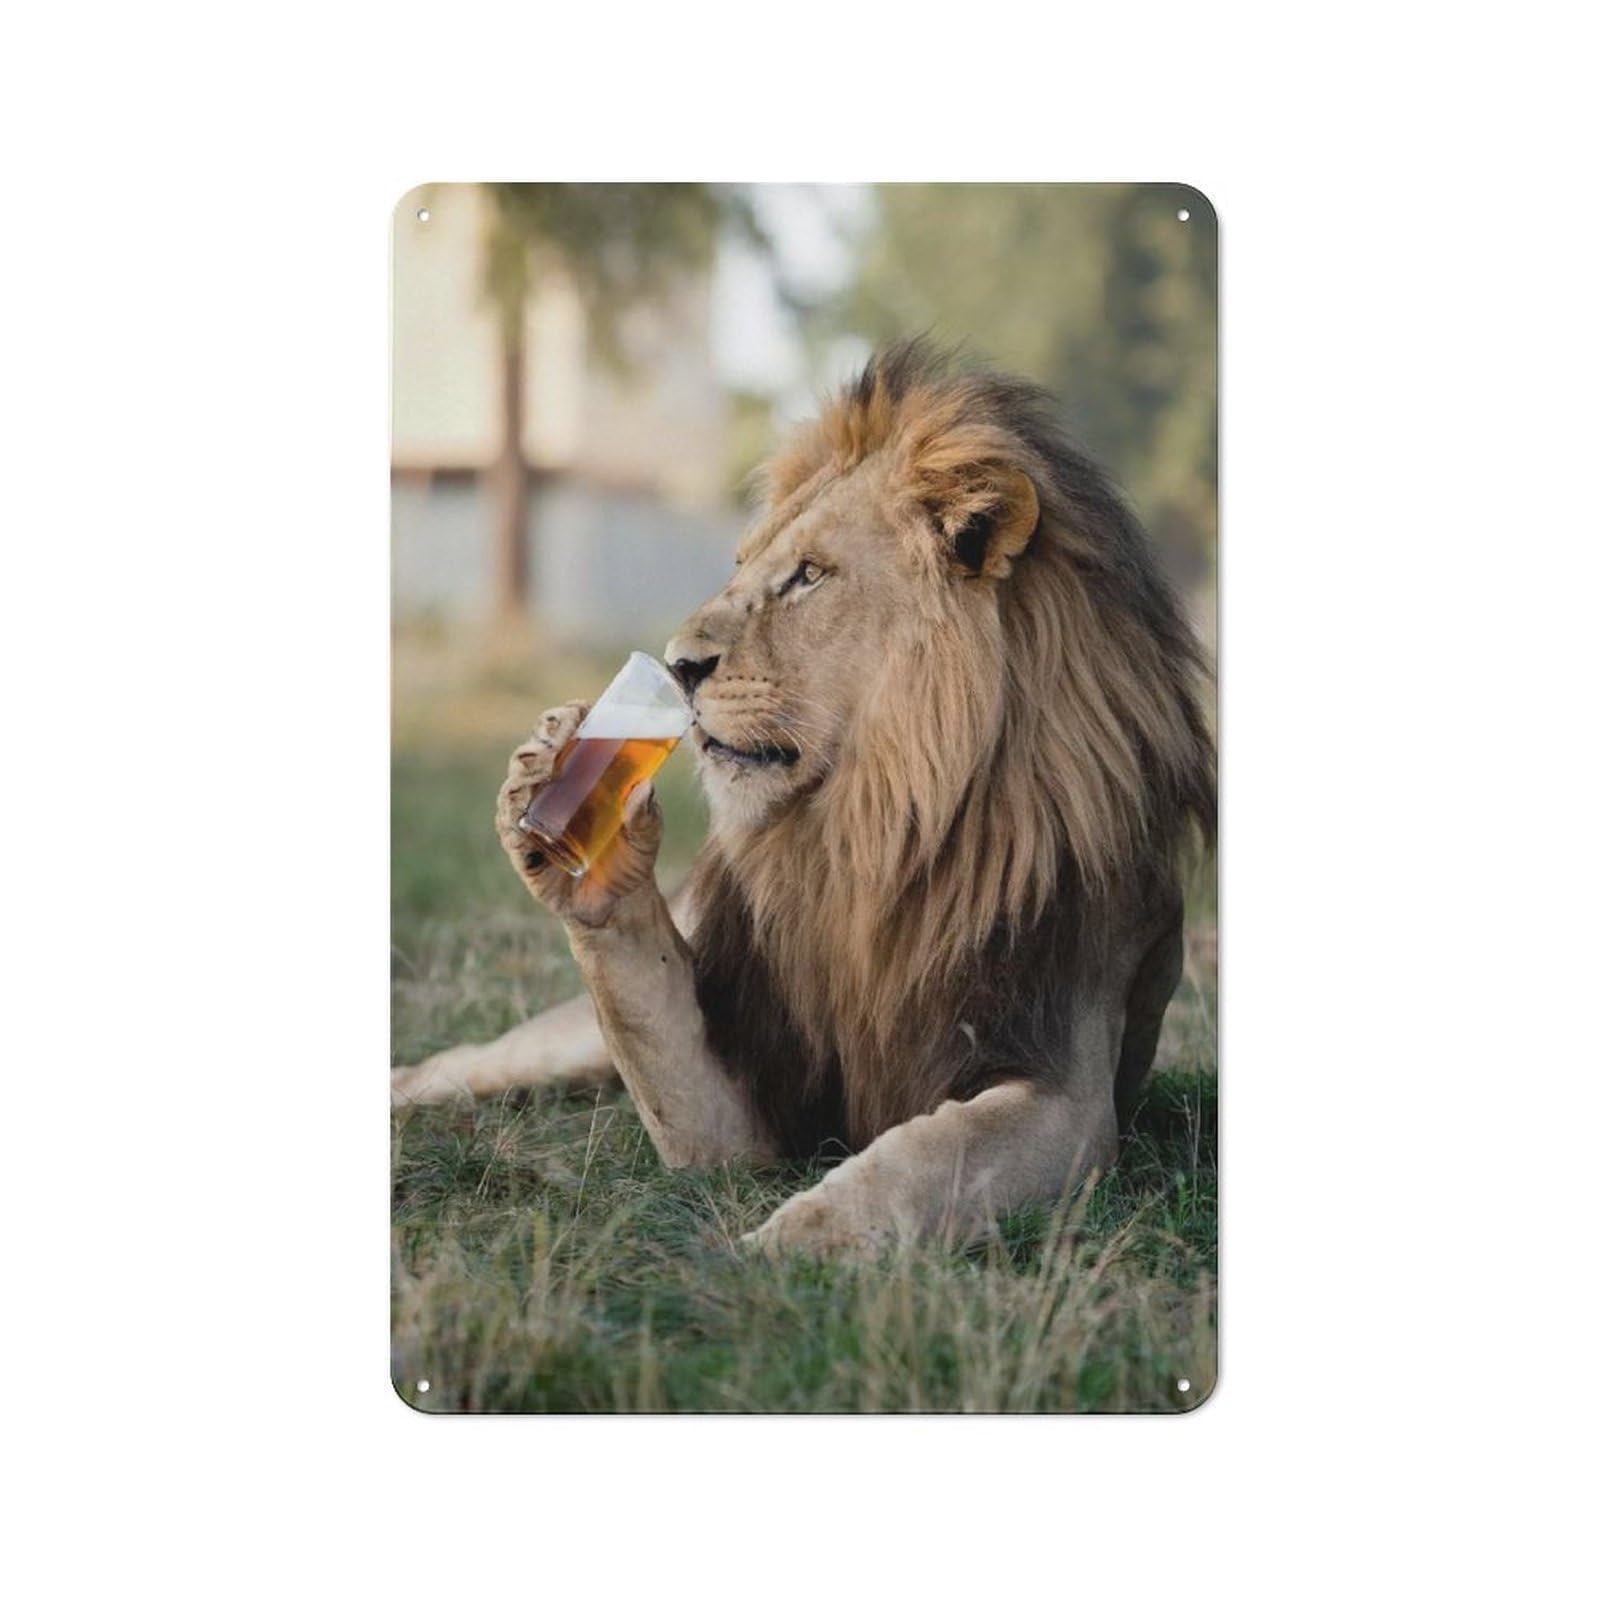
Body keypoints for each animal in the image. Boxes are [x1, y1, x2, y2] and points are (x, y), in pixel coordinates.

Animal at [391, 341, 1216, 1254]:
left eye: (810, 576)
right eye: (742, 565)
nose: (677, 666)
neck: (873, 828)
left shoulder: (1067, 1088)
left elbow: (920, 1162)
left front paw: (770, 1251)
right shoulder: (752, 1101)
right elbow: (650, 1023)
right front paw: (555, 804)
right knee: (467, 1062)